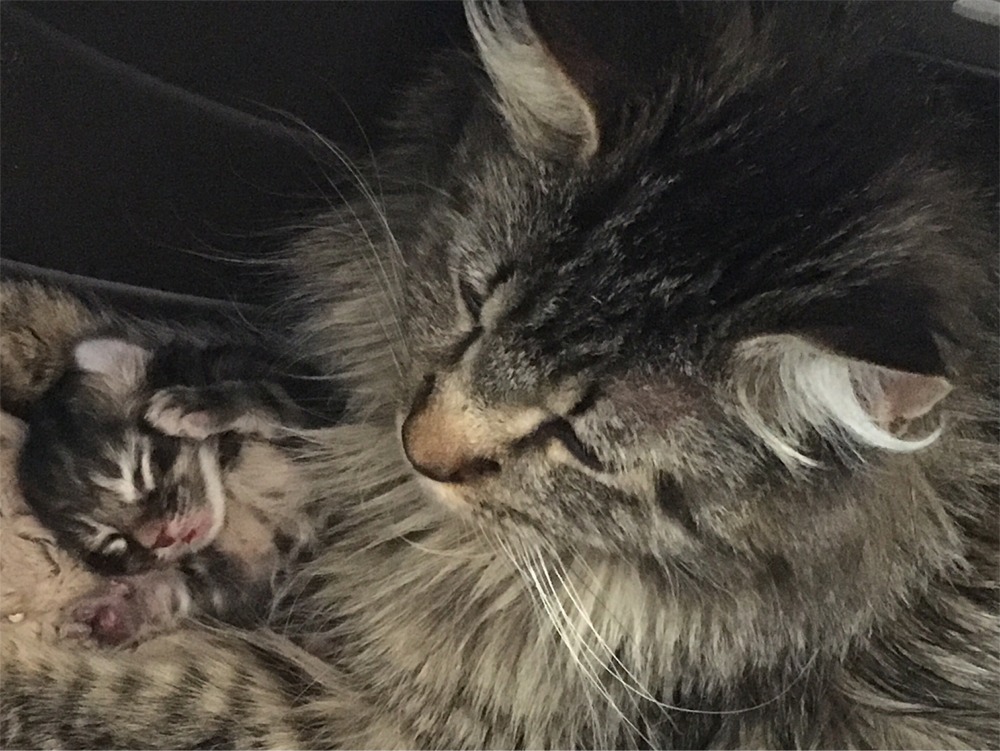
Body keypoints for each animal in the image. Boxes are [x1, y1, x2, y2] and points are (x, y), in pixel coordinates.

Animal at [17, 332, 338, 648]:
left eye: (141, 476)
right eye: (114, 540)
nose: (162, 538)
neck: (228, 486)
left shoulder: (317, 400)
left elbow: (266, 395)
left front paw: (193, 406)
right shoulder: (250, 578)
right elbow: (180, 589)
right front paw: (115, 613)